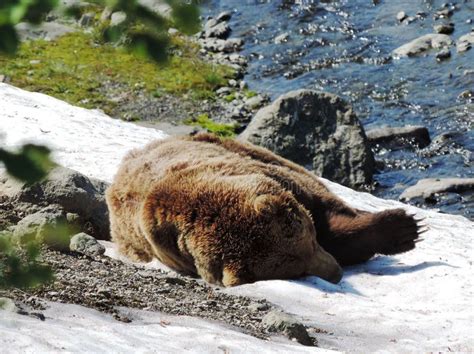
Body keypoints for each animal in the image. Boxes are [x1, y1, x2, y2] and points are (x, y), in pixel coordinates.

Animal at [105, 134, 420, 286]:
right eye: (295, 271)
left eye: (309, 240)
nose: (335, 274)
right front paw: (403, 229)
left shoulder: (271, 176)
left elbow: (324, 207)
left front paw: (404, 226)